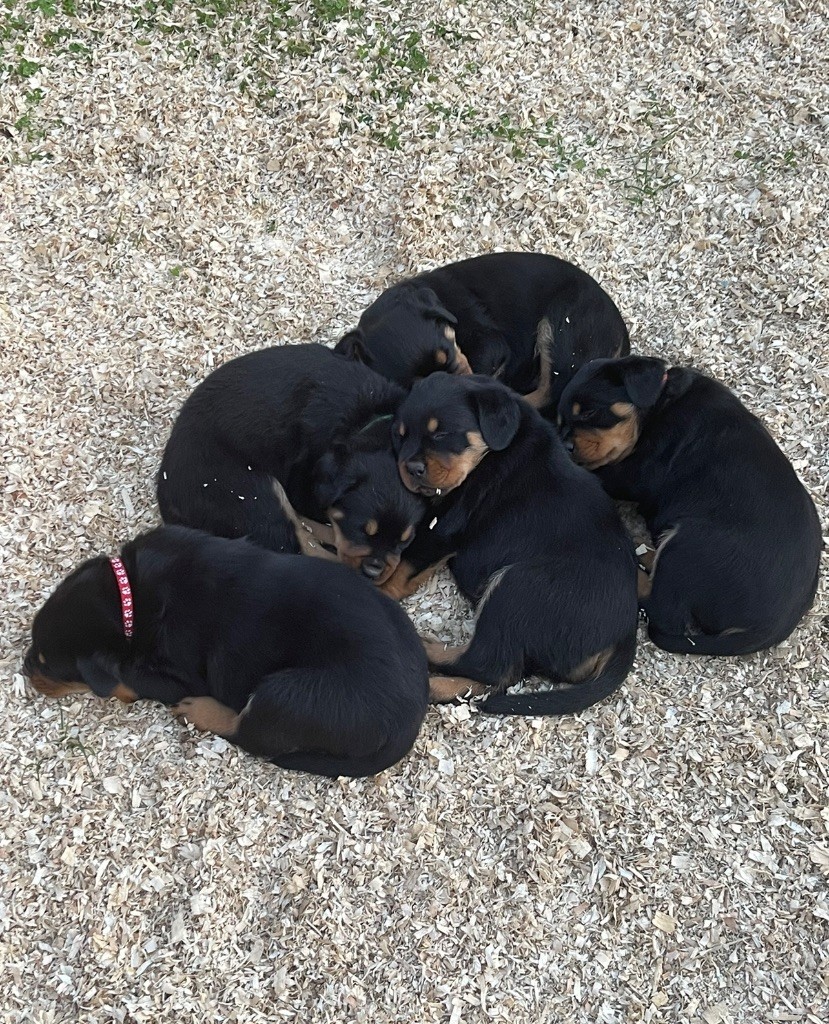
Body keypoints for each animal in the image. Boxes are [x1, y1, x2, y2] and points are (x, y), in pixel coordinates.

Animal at [23, 528, 429, 774]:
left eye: (47, 662)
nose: (25, 668)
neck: (131, 598)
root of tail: (410, 722)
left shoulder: (178, 677)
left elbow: (126, 678)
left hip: (289, 693)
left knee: (249, 732)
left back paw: (200, 711)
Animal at [156, 344, 425, 585]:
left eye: (404, 541)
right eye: (360, 529)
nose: (373, 572)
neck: (368, 419)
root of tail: (168, 504)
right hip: (255, 495)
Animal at [380, 372, 638, 716]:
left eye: (442, 433)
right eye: (400, 437)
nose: (411, 468)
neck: (492, 452)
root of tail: (625, 636)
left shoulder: (445, 527)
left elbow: (405, 566)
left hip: (516, 586)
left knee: (487, 663)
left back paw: (425, 650)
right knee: (499, 676)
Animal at [556, 356, 818, 651]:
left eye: (589, 413)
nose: (565, 445)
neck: (660, 404)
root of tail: (769, 630)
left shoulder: (637, 472)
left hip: (690, 544)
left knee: (662, 610)